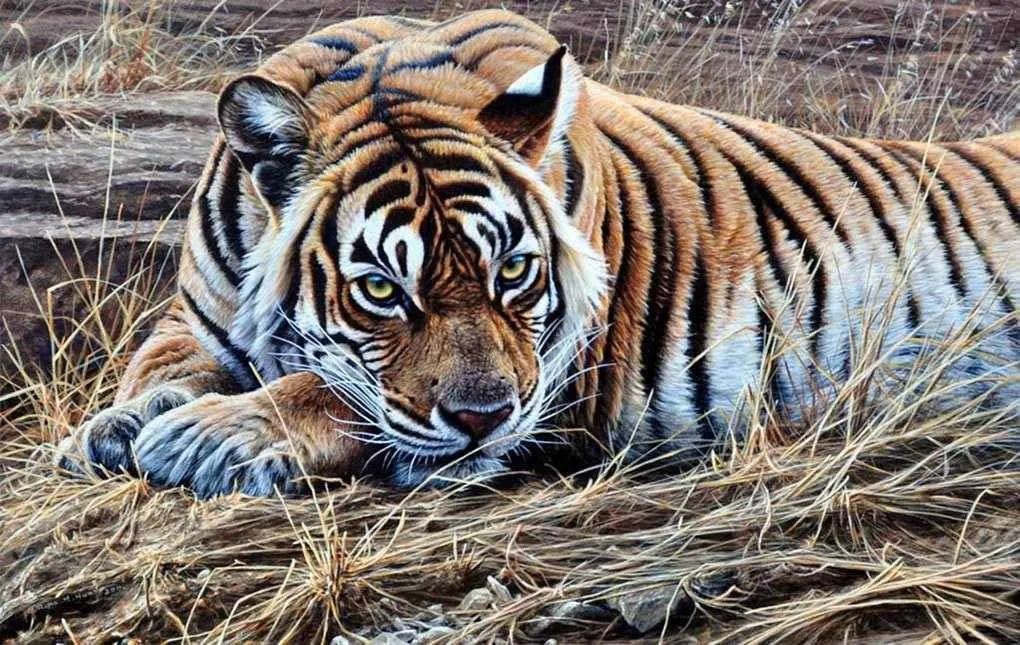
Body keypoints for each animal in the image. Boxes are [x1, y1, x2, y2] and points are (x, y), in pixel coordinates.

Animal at [56, 9, 1020, 498]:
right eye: (381, 289)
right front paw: (115, 425)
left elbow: (331, 393)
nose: (483, 419)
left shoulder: (572, 373)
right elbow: (160, 366)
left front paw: (213, 435)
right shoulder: (197, 318)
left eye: (513, 272)